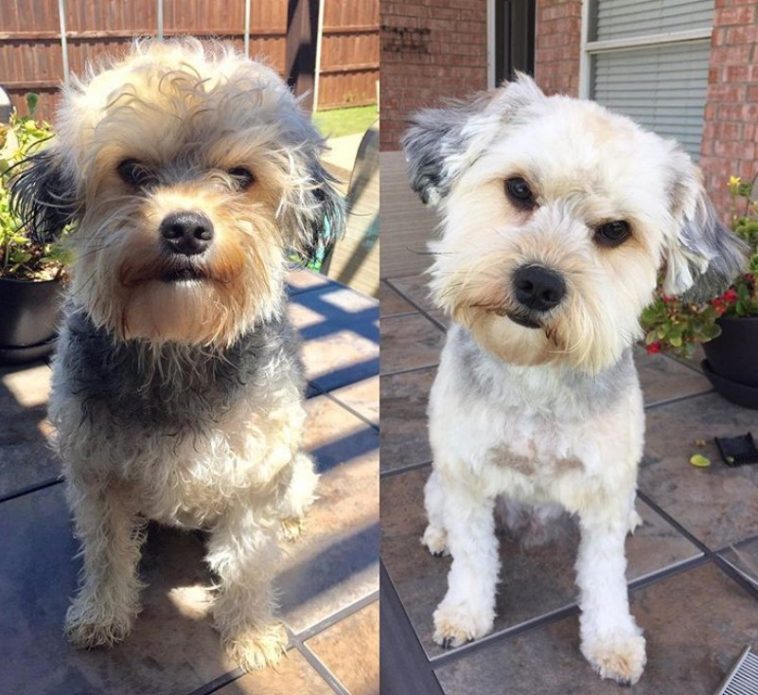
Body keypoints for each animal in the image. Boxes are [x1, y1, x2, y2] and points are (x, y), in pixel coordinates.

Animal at [11, 39, 344, 676]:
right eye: (132, 170)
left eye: (241, 176)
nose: (186, 229)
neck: (177, 346)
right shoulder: (96, 475)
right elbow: (107, 553)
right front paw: (102, 613)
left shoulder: (256, 478)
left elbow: (247, 566)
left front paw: (249, 631)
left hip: (293, 471)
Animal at [404, 76, 748, 684]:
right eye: (519, 189)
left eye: (615, 231)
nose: (539, 283)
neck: (535, 378)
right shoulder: (466, 475)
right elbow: (474, 556)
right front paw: (465, 613)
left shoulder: (605, 489)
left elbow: (605, 577)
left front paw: (612, 641)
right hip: (439, 479)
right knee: (439, 508)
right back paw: (438, 533)